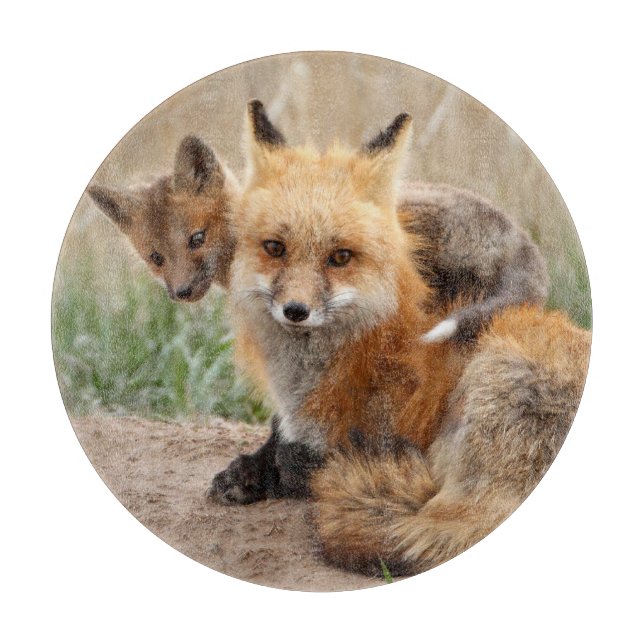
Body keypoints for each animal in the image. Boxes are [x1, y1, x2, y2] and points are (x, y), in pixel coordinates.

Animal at [210, 100, 591, 575]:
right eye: (274, 248)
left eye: (340, 257)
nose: (296, 311)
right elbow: (278, 440)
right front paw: (249, 471)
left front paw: (279, 472)